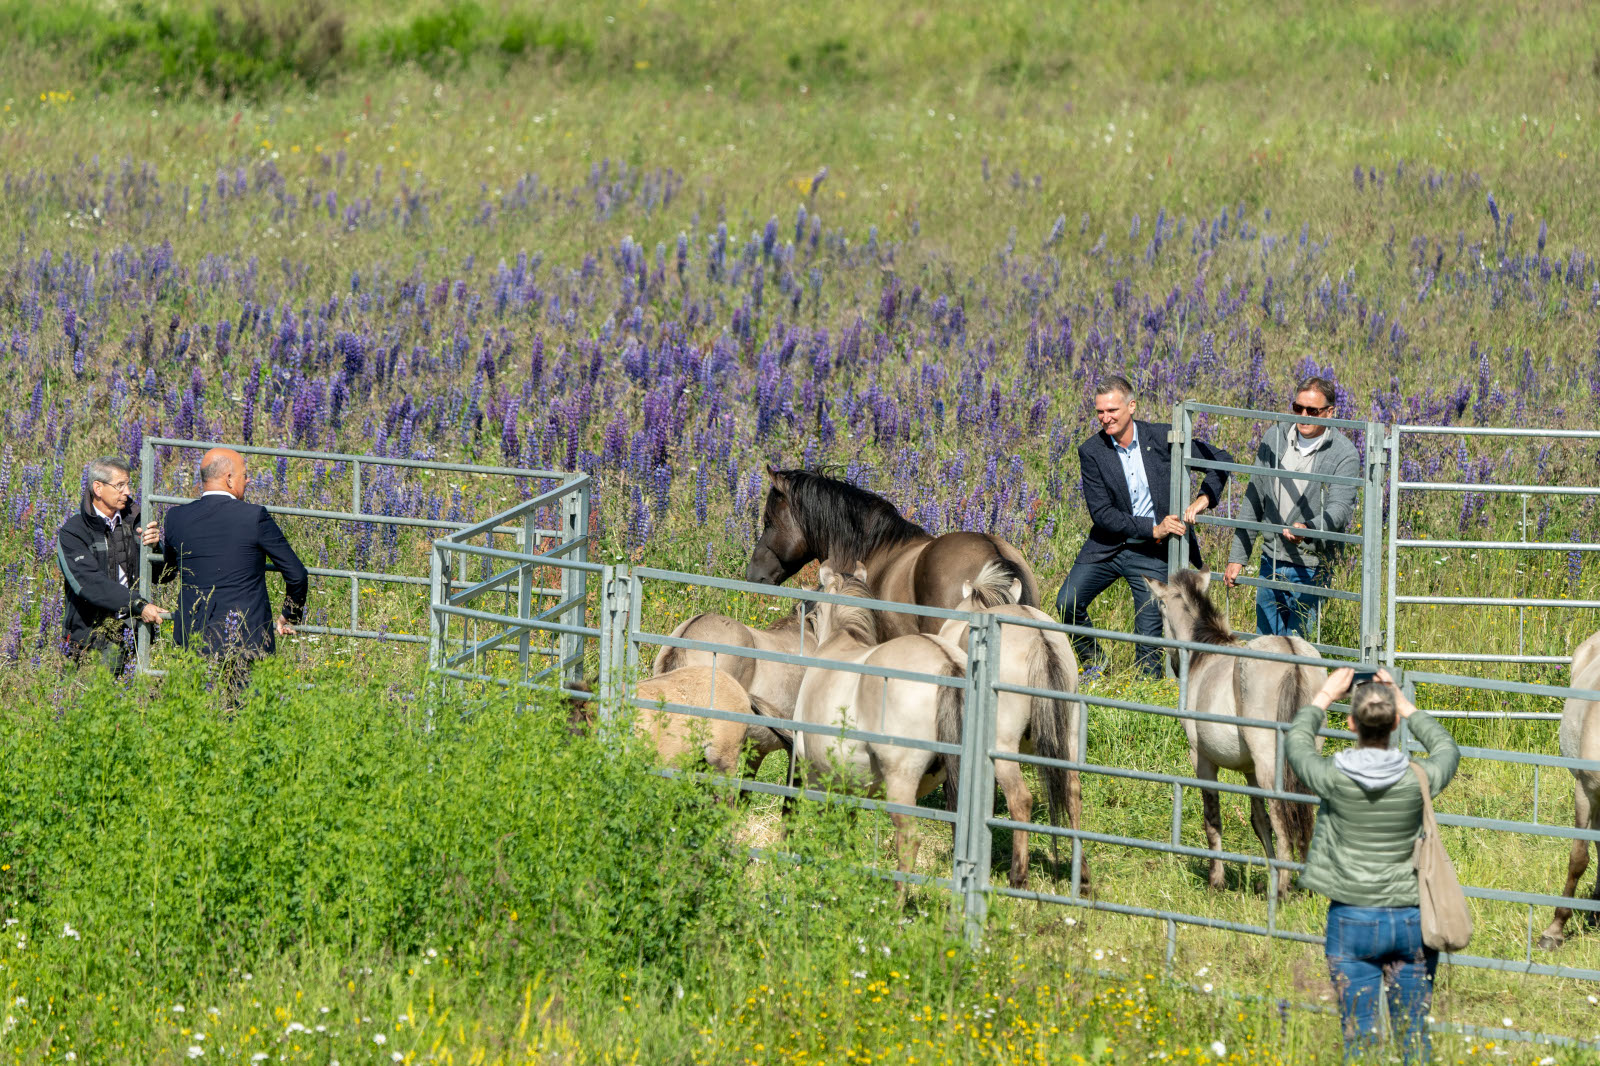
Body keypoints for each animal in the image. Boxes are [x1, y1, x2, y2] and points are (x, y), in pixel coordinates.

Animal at [936, 568, 1088, 891]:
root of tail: (1039, 641)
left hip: (1003, 746)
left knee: (1021, 799)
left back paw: (1019, 876)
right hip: (1067, 739)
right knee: (1072, 794)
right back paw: (1082, 877)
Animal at [1146, 569, 1325, 899]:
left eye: (1162, 609)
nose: (1174, 664)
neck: (1204, 654)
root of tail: (1291, 653)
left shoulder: (1202, 760)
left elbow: (1213, 819)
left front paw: (1216, 880)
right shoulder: (1250, 771)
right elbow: (1259, 821)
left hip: (1270, 763)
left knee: (1283, 817)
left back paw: (1282, 891)